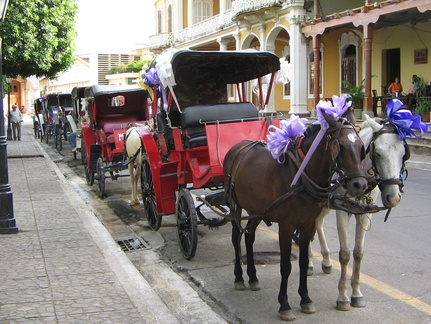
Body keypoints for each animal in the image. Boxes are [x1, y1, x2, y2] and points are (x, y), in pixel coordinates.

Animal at [224, 110, 370, 320]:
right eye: (340, 146)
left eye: (360, 147)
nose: (360, 185)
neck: (302, 174)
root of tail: (238, 147)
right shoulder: (286, 226)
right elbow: (286, 266)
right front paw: (284, 304)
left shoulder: (308, 225)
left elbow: (303, 262)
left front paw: (305, 299)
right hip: (235, 204)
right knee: (236, 237)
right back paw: (239, 278)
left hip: (256, 209)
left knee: (249, 236)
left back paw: (252, 277)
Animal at [310, 113, 408, 308]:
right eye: (377, 153)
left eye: (403, 154)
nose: (393, 197)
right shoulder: (341, 210)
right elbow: (345, 254)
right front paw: (343, 296)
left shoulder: (365, 213)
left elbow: (358, 253)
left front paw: (356, 293)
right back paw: (309, 262)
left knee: (318, 222)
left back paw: (326, 260)